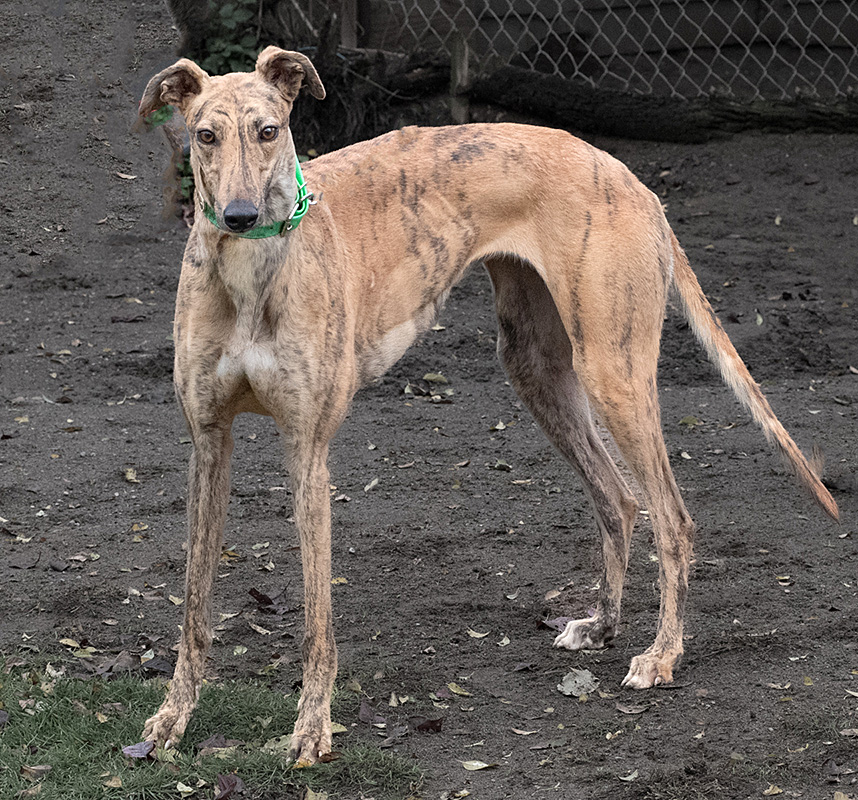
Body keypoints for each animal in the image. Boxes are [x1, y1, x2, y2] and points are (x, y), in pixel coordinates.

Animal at [139, 48, 836, 764]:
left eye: (269, 130)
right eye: (205, 135)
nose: (240, 216)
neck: (253, 276)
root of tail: (633, 180)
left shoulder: (308, 451)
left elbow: (316, 622)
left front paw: (311, 729)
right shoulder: (208, 443)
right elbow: (193, 605)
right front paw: (171, 719)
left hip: (612, 372)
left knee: (674, 517)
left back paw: (661, 654)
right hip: (537, 369)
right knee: (619, 499)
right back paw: (603, 626)